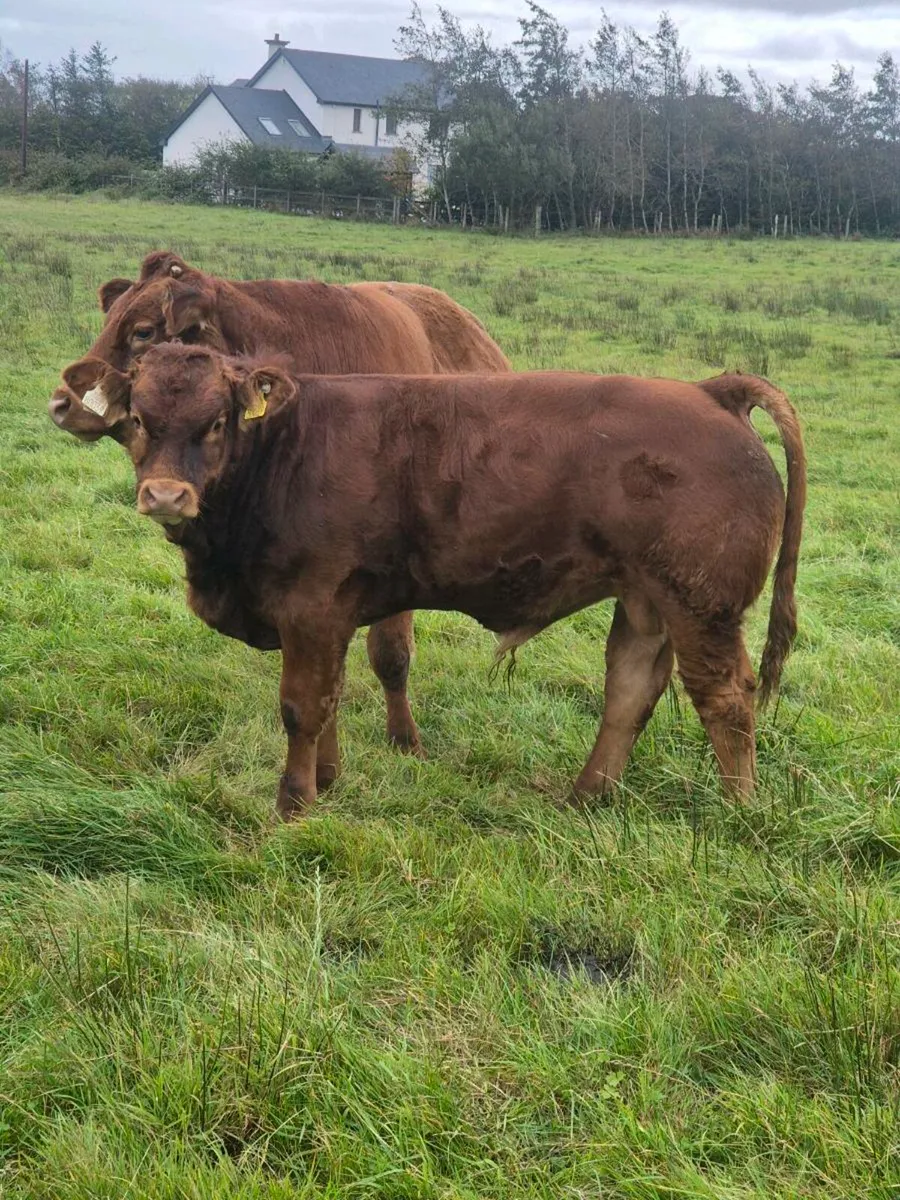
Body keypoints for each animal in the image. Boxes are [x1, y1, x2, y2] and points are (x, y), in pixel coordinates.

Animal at [90, 344, 807, 820]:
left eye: (216, 422)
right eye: (137, 420)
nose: (165, 495)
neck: (284, 450)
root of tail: (710, 391)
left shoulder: (311, 606)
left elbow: (302, 707)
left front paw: (294, 803)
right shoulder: (332, 615)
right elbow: (331, 700)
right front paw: (329, 780)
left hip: (700, 606)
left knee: (726, 700)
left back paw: (739, 813)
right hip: (645, 602)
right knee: (629, 693)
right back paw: (585, 797)